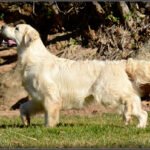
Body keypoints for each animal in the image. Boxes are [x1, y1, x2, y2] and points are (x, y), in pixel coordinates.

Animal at [0, 23, 148, 127]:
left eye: (16, 28)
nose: (2, 26)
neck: (33, 58)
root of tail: (121, 63)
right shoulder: (38, 97)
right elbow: (24, 106)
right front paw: (26, 120)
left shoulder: (50, 95)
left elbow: (50, 115)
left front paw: (48, 127)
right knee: (141, 110)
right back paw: (136, 124)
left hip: (107, 93)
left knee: (131, 100)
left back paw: (130, 118)